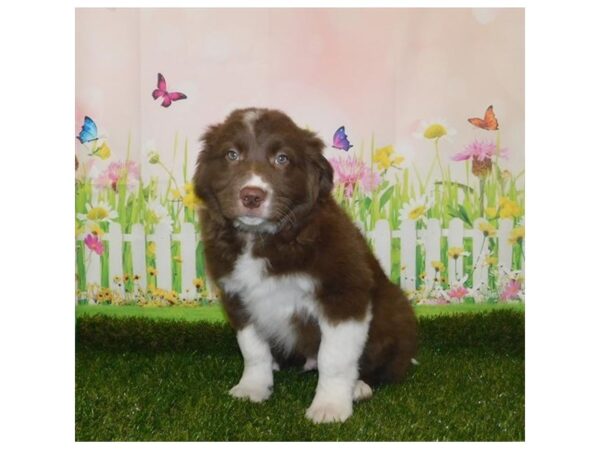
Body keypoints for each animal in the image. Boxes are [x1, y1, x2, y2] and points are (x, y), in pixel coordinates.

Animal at [193, 107, 418, 424]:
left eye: (282, 159)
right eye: (231, 155)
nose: (251, 196)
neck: (263, 238)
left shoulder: (343, 294)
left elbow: (334, 358)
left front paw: (330, 408)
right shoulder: (237, 296)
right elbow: (252, 349)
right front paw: (252, 388)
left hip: (393, 310)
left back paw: (359, 386)